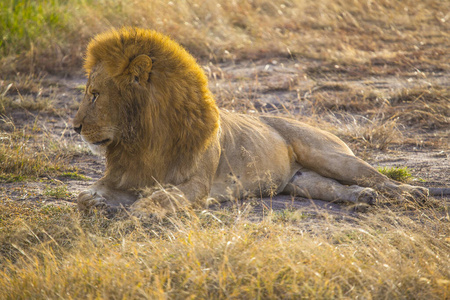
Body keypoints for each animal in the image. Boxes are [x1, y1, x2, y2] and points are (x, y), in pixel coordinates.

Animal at [73, 27, 432, 216]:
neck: (141, 139)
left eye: (95, 94)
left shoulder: (197, 184)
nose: (75, 127)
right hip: (302, 181)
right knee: (333, 188)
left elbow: (163, 197)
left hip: (330, 155)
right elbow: (84, 194)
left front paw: (140, 210)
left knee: (378, 177)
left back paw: (411, 193)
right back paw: (362, 198)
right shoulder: (124, 176)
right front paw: (97, 202)